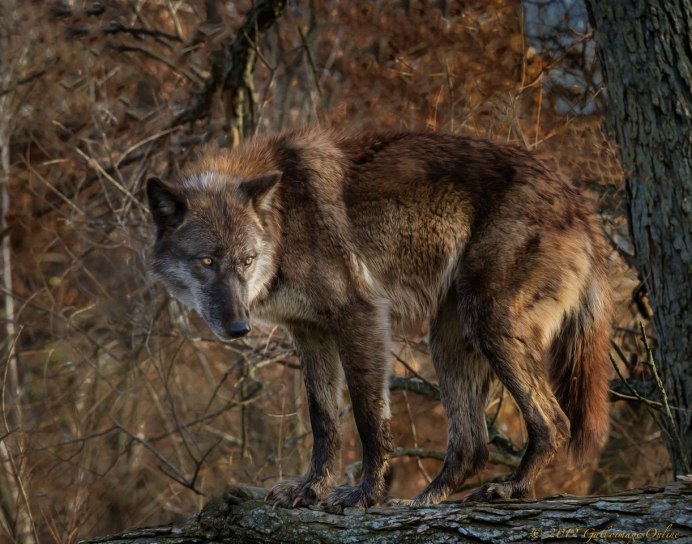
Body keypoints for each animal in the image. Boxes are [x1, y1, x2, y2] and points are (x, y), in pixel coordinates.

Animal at [146, 128, 612, 513]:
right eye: (207, 261)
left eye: (246, 260)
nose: (239, 328)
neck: (284, 219)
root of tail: (580, 202)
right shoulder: (310, 333)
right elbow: (323, 421)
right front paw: (310, 490)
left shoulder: (362, 316)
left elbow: (368, 419)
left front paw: (364, 495)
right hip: (449, 339)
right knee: (473, 445)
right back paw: (424, 501)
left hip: (490, 326)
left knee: (553, 422)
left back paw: (511, 489)